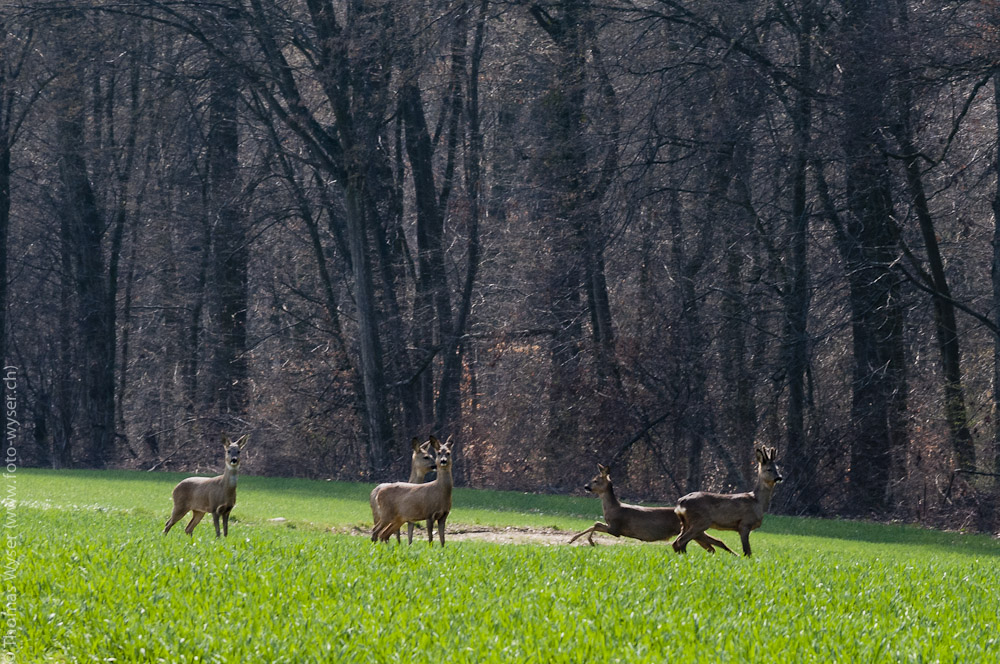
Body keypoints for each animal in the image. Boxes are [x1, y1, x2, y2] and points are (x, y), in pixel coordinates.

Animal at [572, 464, 736, 552]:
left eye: (595, 480)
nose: (585, 486)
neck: (612, 508)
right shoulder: (615, 528)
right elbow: (595, 524)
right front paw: (585, 541)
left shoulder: (616, 528)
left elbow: (595, 524)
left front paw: (582, 540)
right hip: (695, 531)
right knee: (714, 545)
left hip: (695, 530)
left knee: (714, 544)